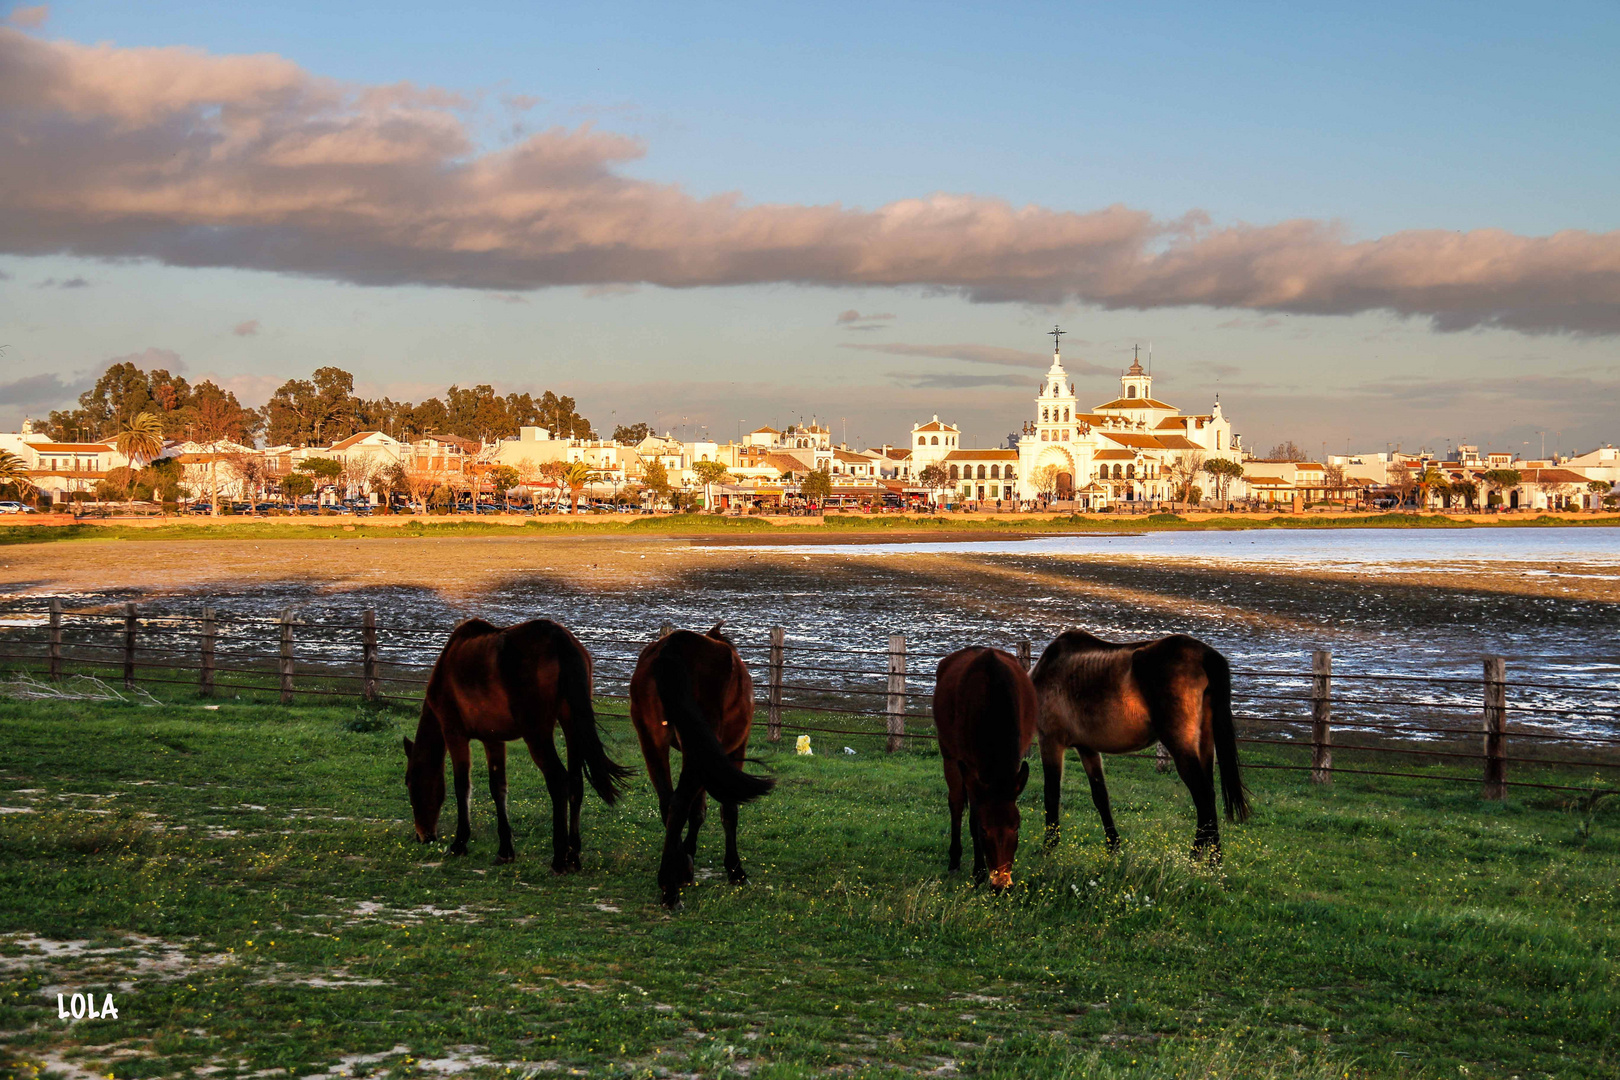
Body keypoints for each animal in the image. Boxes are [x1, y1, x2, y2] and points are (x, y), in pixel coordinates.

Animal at [405, 615, 631, 867]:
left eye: (411, 784)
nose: (423, 836)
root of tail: (560, 639)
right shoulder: (493, 738)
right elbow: (498, 788)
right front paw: (505, 850)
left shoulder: (454, 733)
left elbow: (462, 786)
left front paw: (459, 844)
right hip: (572, 725)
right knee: (575, 782)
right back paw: (573, 855)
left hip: (537, 734)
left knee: (558, 780)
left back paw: (559, 858)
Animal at [628, 625, 774, 913]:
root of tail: (674, 644)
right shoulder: (732, 751)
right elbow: (728, 811)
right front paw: (736, 870)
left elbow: (698, 811)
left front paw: (687, 859)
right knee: (679, 804)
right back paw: (670, 891)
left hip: (652, 741)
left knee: (668, 803)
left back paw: (676, 872)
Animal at [939, 647, 1036, 893]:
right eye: (984, 831)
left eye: (1017, 827)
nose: (1001, 886)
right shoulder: (968, 765)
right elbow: (972, 816)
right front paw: (979, 873)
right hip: (948, 754)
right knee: (956, 803)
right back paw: (954, 861)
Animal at [1036, 634, 1250, 861]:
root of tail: (1205, 654)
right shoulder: (1087, 748)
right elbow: (1100, 796)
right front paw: (1113, 848)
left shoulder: (1049, 741)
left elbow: (1051, 793)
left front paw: (1048, 847)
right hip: (1205, 746)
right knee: (1209, 797)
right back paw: (1210, 859)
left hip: (1181, 747)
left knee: (1204, 795)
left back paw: (1198, 860)